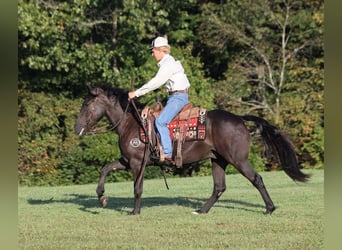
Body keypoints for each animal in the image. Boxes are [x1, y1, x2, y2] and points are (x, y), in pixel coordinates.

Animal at [75, 84, 310, 215]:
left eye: (86, 104)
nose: (77, 128)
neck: (131, 123)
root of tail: (239, 118)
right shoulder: (125, 161)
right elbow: (105, 169)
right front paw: (101, 197)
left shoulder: (136, 163)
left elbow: (137, 188)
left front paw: (134, 212)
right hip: (218, 160)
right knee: (219, 187)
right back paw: (201, 210)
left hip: (238, 159)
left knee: (256, 179)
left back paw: (269, 208)